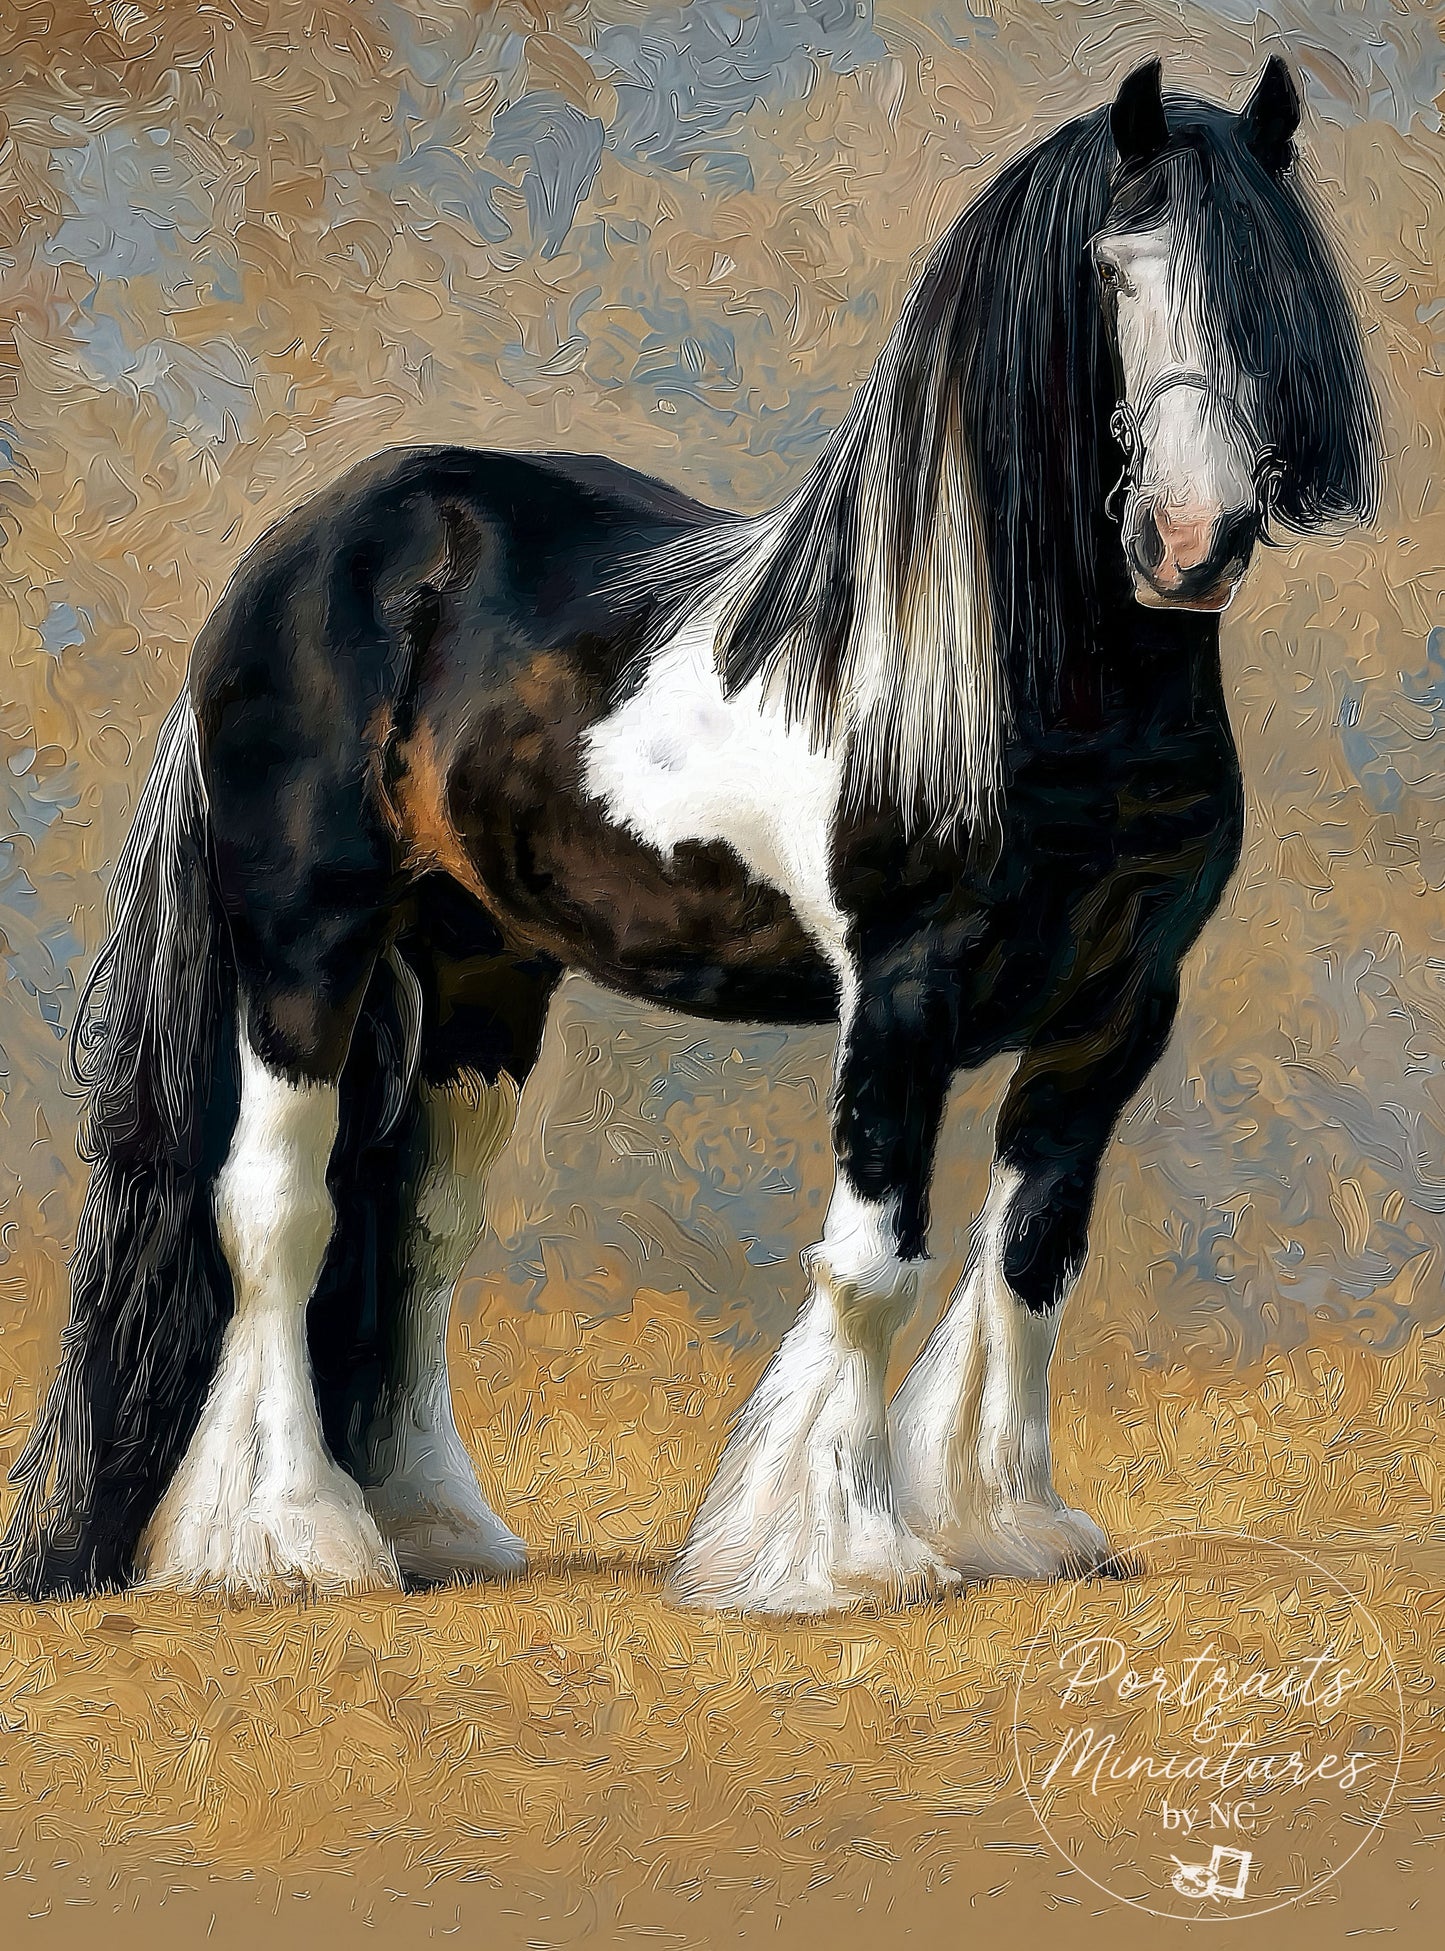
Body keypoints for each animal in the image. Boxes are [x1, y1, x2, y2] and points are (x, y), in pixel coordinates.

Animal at [0, 58, 1380, 1614]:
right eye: (1111, 270)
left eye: (1272, 287)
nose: (1192, 541)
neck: (1030, 685)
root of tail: (309, 544)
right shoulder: (901, 991)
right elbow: (872, 1266)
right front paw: (828, 1555)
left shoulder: (1121, 1006)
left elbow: (1031, 1257)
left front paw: (1004, 1526)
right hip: (305, 939)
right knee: (276, 1211)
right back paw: (289, 1539)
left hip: (481, 976)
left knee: (416, 1231)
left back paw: (432, 1529)